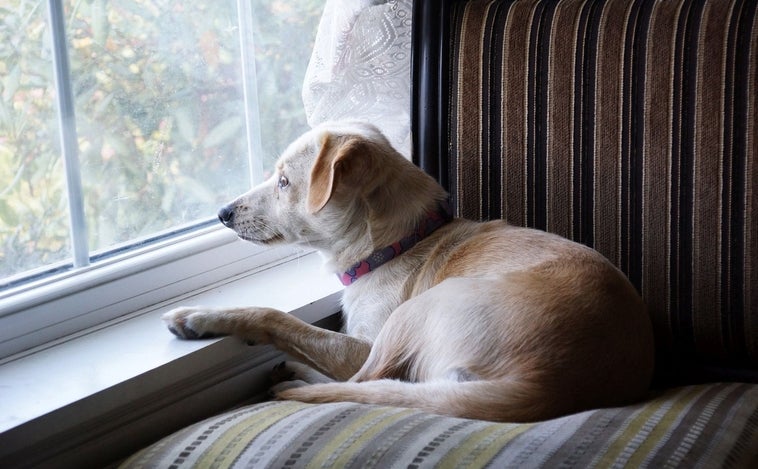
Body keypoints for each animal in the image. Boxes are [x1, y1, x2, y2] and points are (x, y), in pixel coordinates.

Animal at [163, 119, 656, 420]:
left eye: (284, 182)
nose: (222, 213)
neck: (397, 243)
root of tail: (546, 387)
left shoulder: (361, 344)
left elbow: (276, 317)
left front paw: (200, 317)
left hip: (415, 314)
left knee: (366, 383)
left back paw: (293, 379)